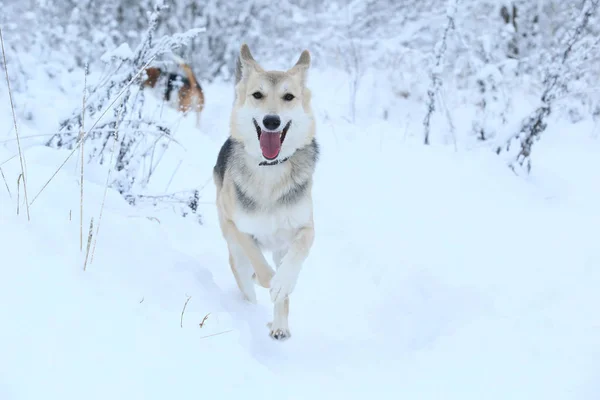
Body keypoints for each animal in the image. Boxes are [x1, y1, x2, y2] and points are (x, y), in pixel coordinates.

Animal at [214, 43, 322, 340]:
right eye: (257, 95)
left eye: (289, 97)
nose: (271, 121)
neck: (270, 170)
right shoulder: (237, 227)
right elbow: (260, 267)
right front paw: (271, 280)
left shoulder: (305, 229)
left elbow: (295, 260)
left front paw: (282, 283)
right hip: (235, 251)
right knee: (246, 278)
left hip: (279, 247)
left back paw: (280, 326)